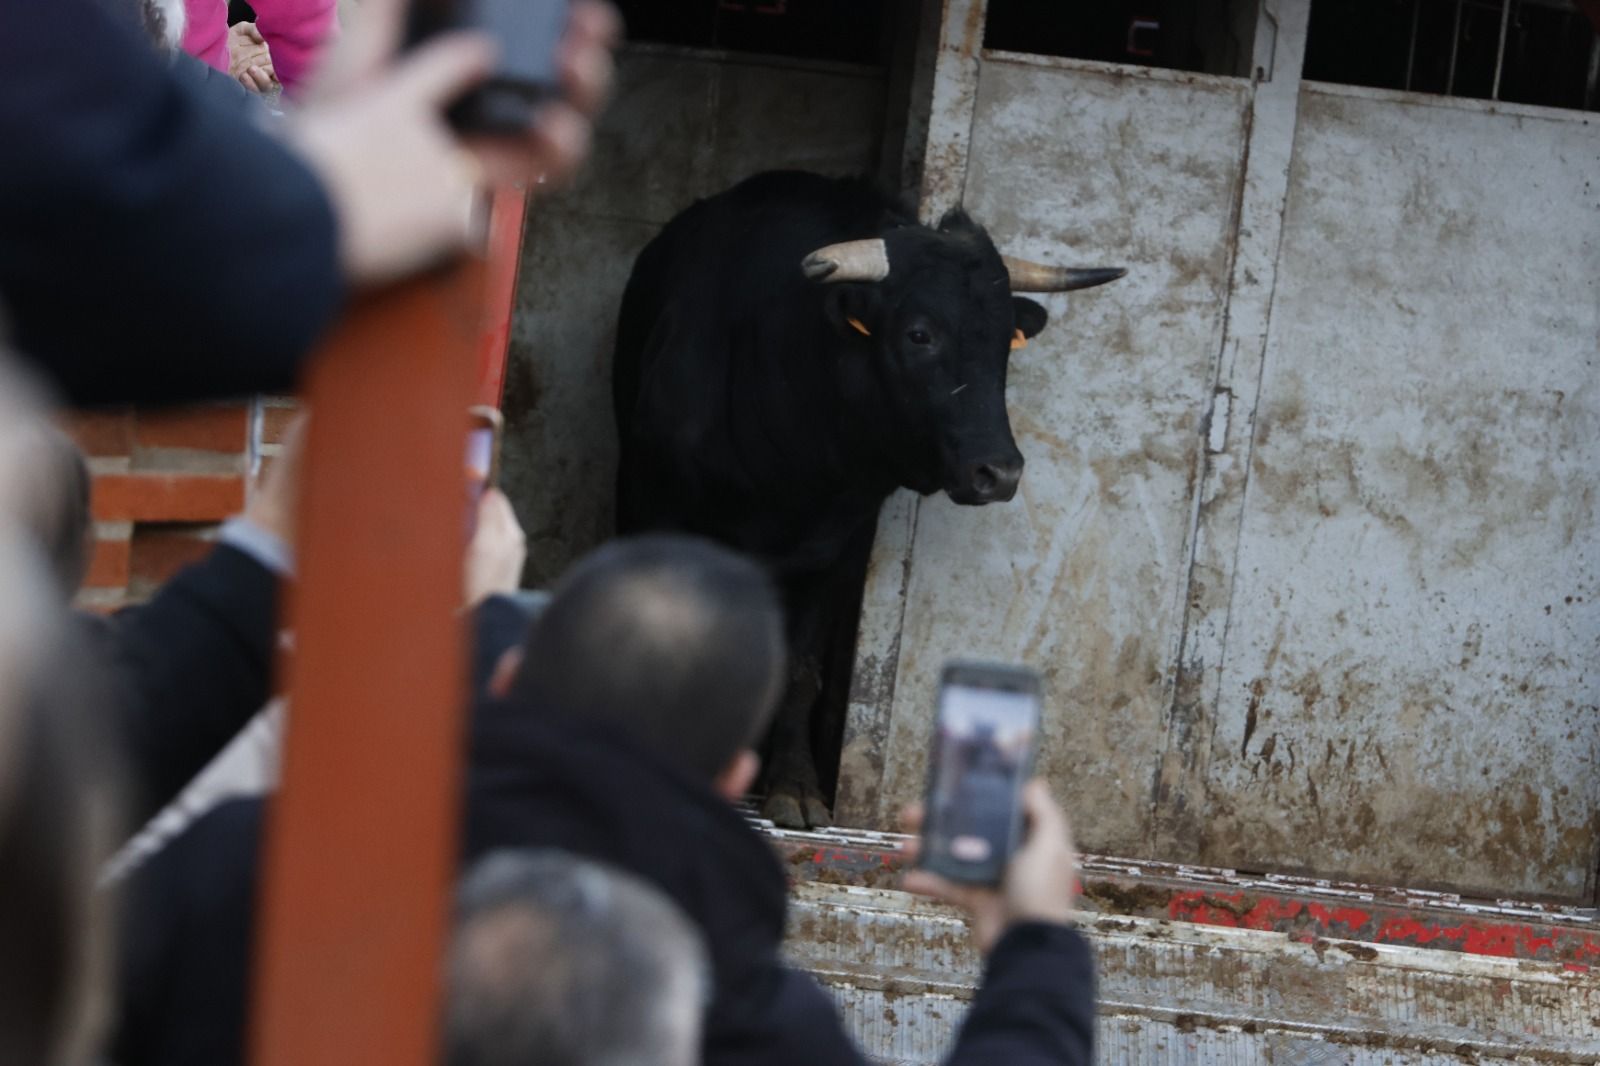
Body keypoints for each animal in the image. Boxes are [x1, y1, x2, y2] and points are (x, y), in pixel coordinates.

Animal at [611, 170, 1126, 825]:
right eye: (920, 333)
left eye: (1002, 344)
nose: (1000, 472)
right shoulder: (651, 502)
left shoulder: (834, 547)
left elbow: (800, 668)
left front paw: (794, 785)